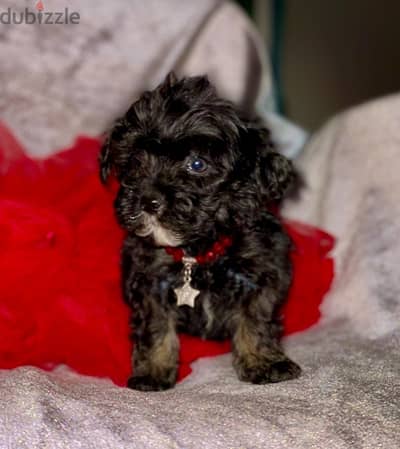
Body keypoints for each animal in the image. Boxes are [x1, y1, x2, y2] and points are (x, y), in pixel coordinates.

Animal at [99, 72, 300, 388]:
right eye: (135, 161)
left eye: (197, 164)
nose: (148, 199)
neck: (197, 253)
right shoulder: (149, 279)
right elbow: (155, 326)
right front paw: (152, 372)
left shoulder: (261, 270)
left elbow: (256, 318)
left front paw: (264, 362)